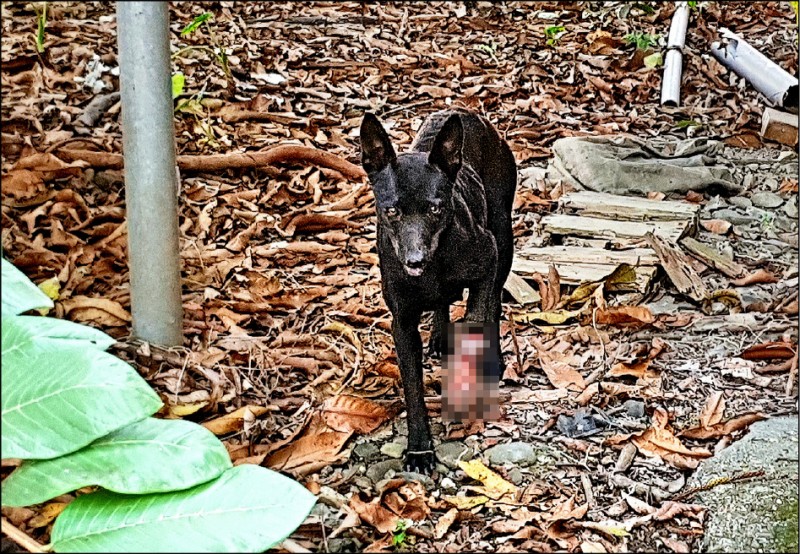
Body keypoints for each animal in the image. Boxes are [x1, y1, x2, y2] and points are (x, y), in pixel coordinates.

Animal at [360, 108, 516, 470]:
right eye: (391, 210)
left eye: (435, 208)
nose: (415, 260)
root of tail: (466, 112)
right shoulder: (402, 323)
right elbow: (413, 389)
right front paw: (419, 448)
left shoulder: (488, 260)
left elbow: (479, 314)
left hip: (504, 238)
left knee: (494, 306)